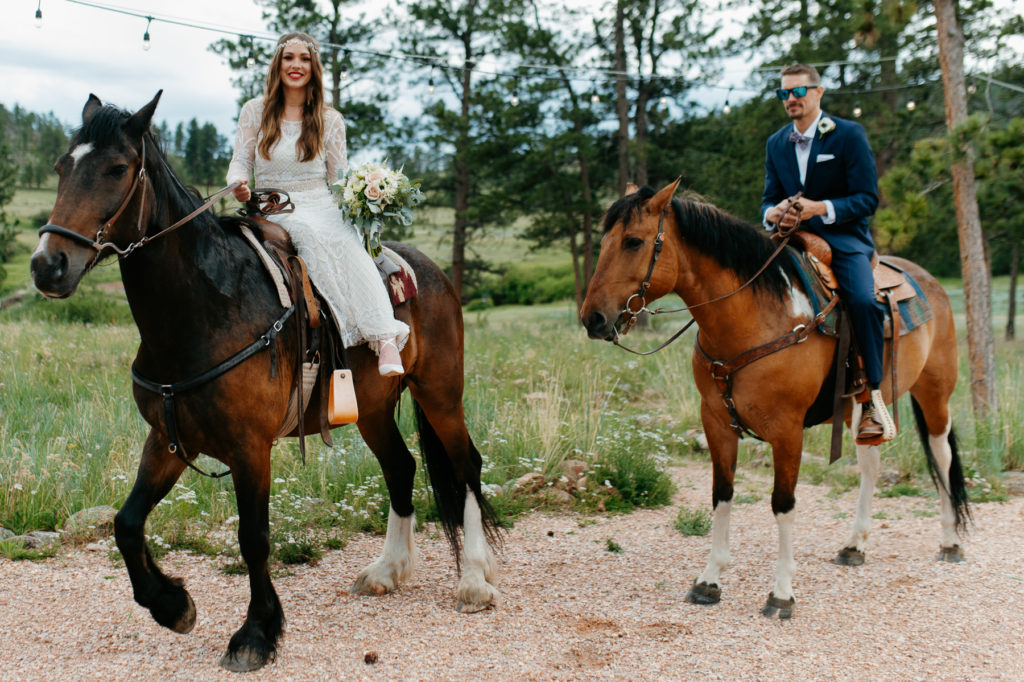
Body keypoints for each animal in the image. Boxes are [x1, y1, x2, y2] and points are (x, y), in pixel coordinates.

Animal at [28, 91, 499, 667]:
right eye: (61, 167)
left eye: (117, 168)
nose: (48, 265)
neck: (209, 308)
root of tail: (429, 270)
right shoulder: (168, 438)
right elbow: (126, 523)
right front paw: (172, 605)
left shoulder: (250, 447)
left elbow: (253, 536)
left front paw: (256, 633)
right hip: (371, 408)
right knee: (402, 468)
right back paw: (387, 570)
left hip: (440, 393)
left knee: (466, 465)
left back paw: (474, 580)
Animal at [581, 179, 970, 614]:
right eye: (604, 242)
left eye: (633, 241)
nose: (592, 318)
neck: (755, 319)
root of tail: (924, 279)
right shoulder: (716, 421)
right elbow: (722, 494)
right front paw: (710, 580)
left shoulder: (787, 431)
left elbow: (783, 504)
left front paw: (782, 592)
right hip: (861, 406)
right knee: (871, 464)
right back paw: (855, 545)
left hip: (935, 393)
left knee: (942, 454)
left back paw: (950, 541)